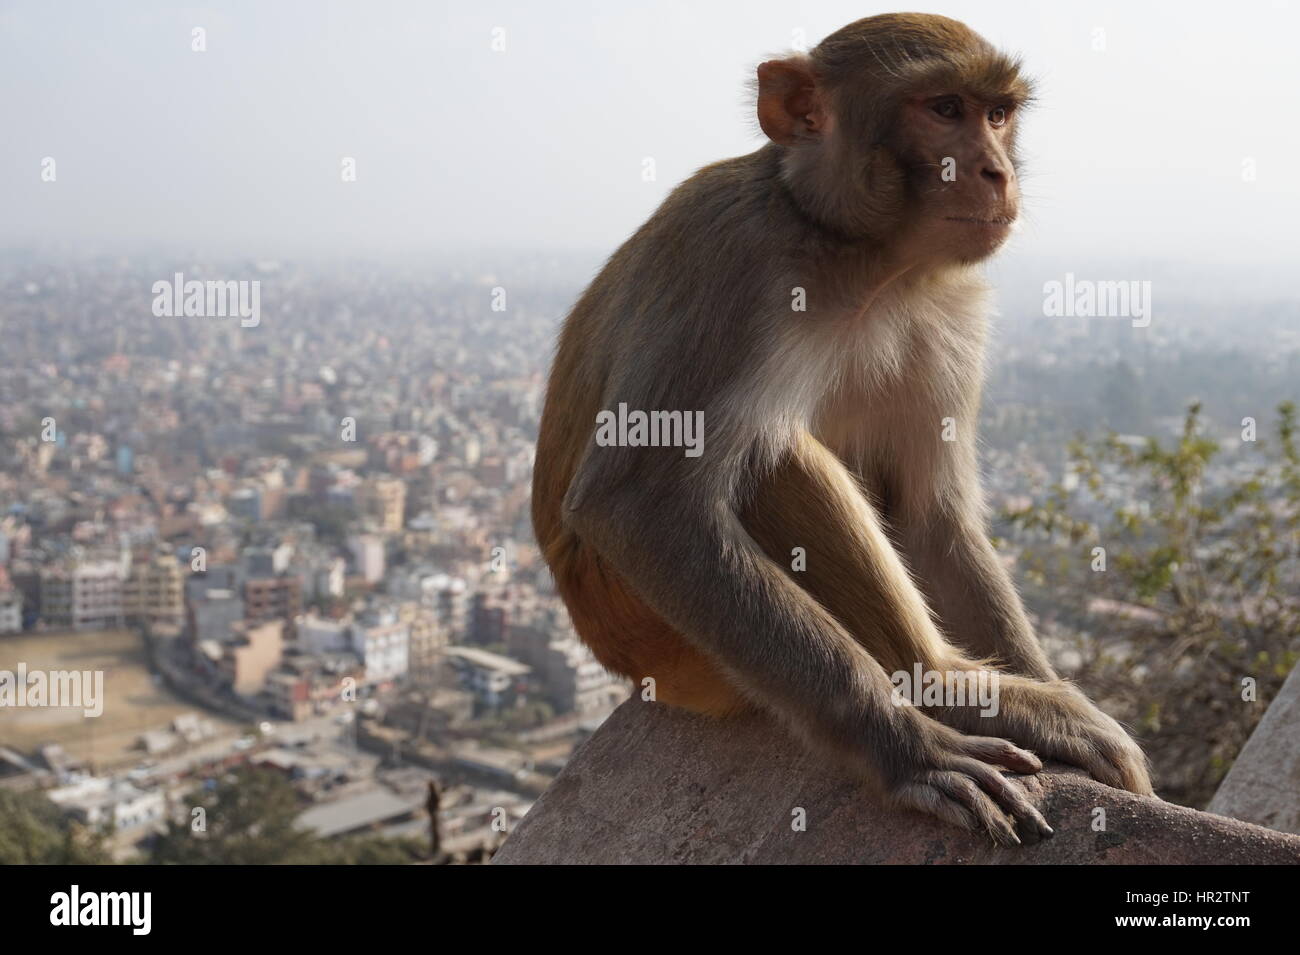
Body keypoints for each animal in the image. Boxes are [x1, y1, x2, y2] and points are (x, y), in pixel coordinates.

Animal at [533, 9, 1154, 841]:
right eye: (944, 109)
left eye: (998, 114)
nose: (996, 171)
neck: (862, 259)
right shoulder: (732, 259)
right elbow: (638, 501)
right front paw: (908, 748)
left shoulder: (950, 311)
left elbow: (932, 513)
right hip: (660, 641)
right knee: (771, 453)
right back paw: (943, 686)